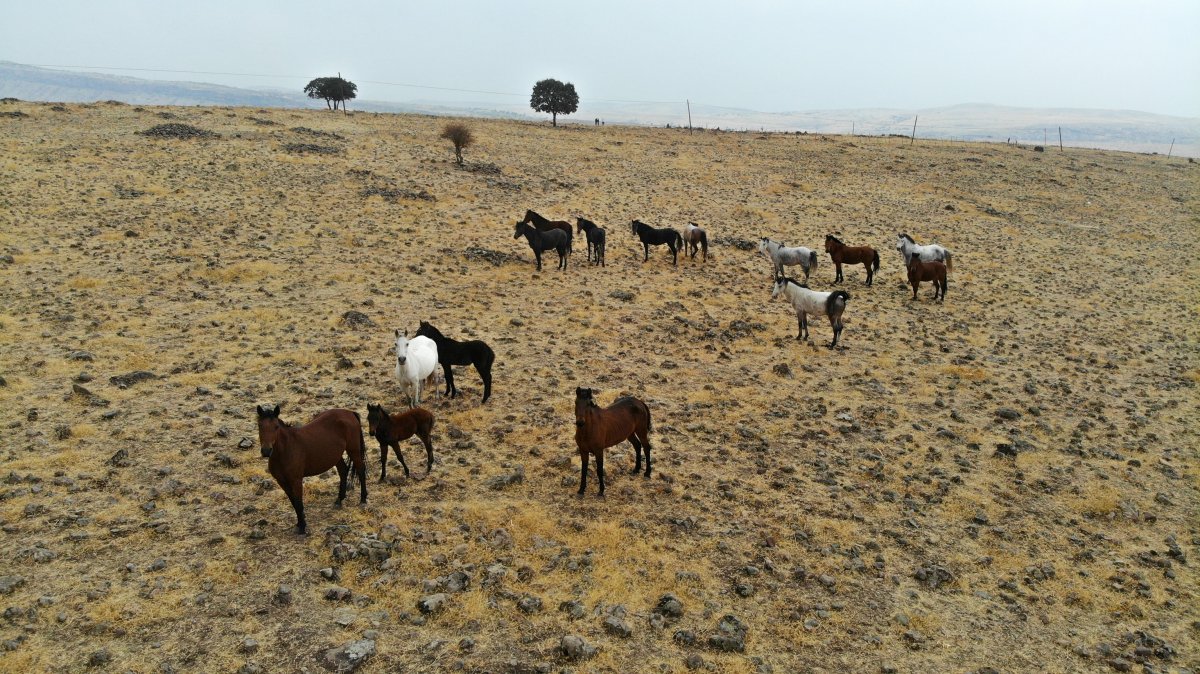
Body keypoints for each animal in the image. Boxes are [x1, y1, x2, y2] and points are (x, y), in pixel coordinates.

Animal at [253, 400, 364, 532]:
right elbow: (293, 502)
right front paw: (300, 523)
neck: (285, 450)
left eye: (276, 427)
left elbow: (298, 503)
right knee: (343, 471)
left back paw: (363, 499)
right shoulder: (282, 481)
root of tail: (349, 413)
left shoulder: (296, 480)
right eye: (260, 426)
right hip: (335, 455)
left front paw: (302, 527)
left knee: (361, 470)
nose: (266, 451)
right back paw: (339, 500)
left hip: (354, 450)